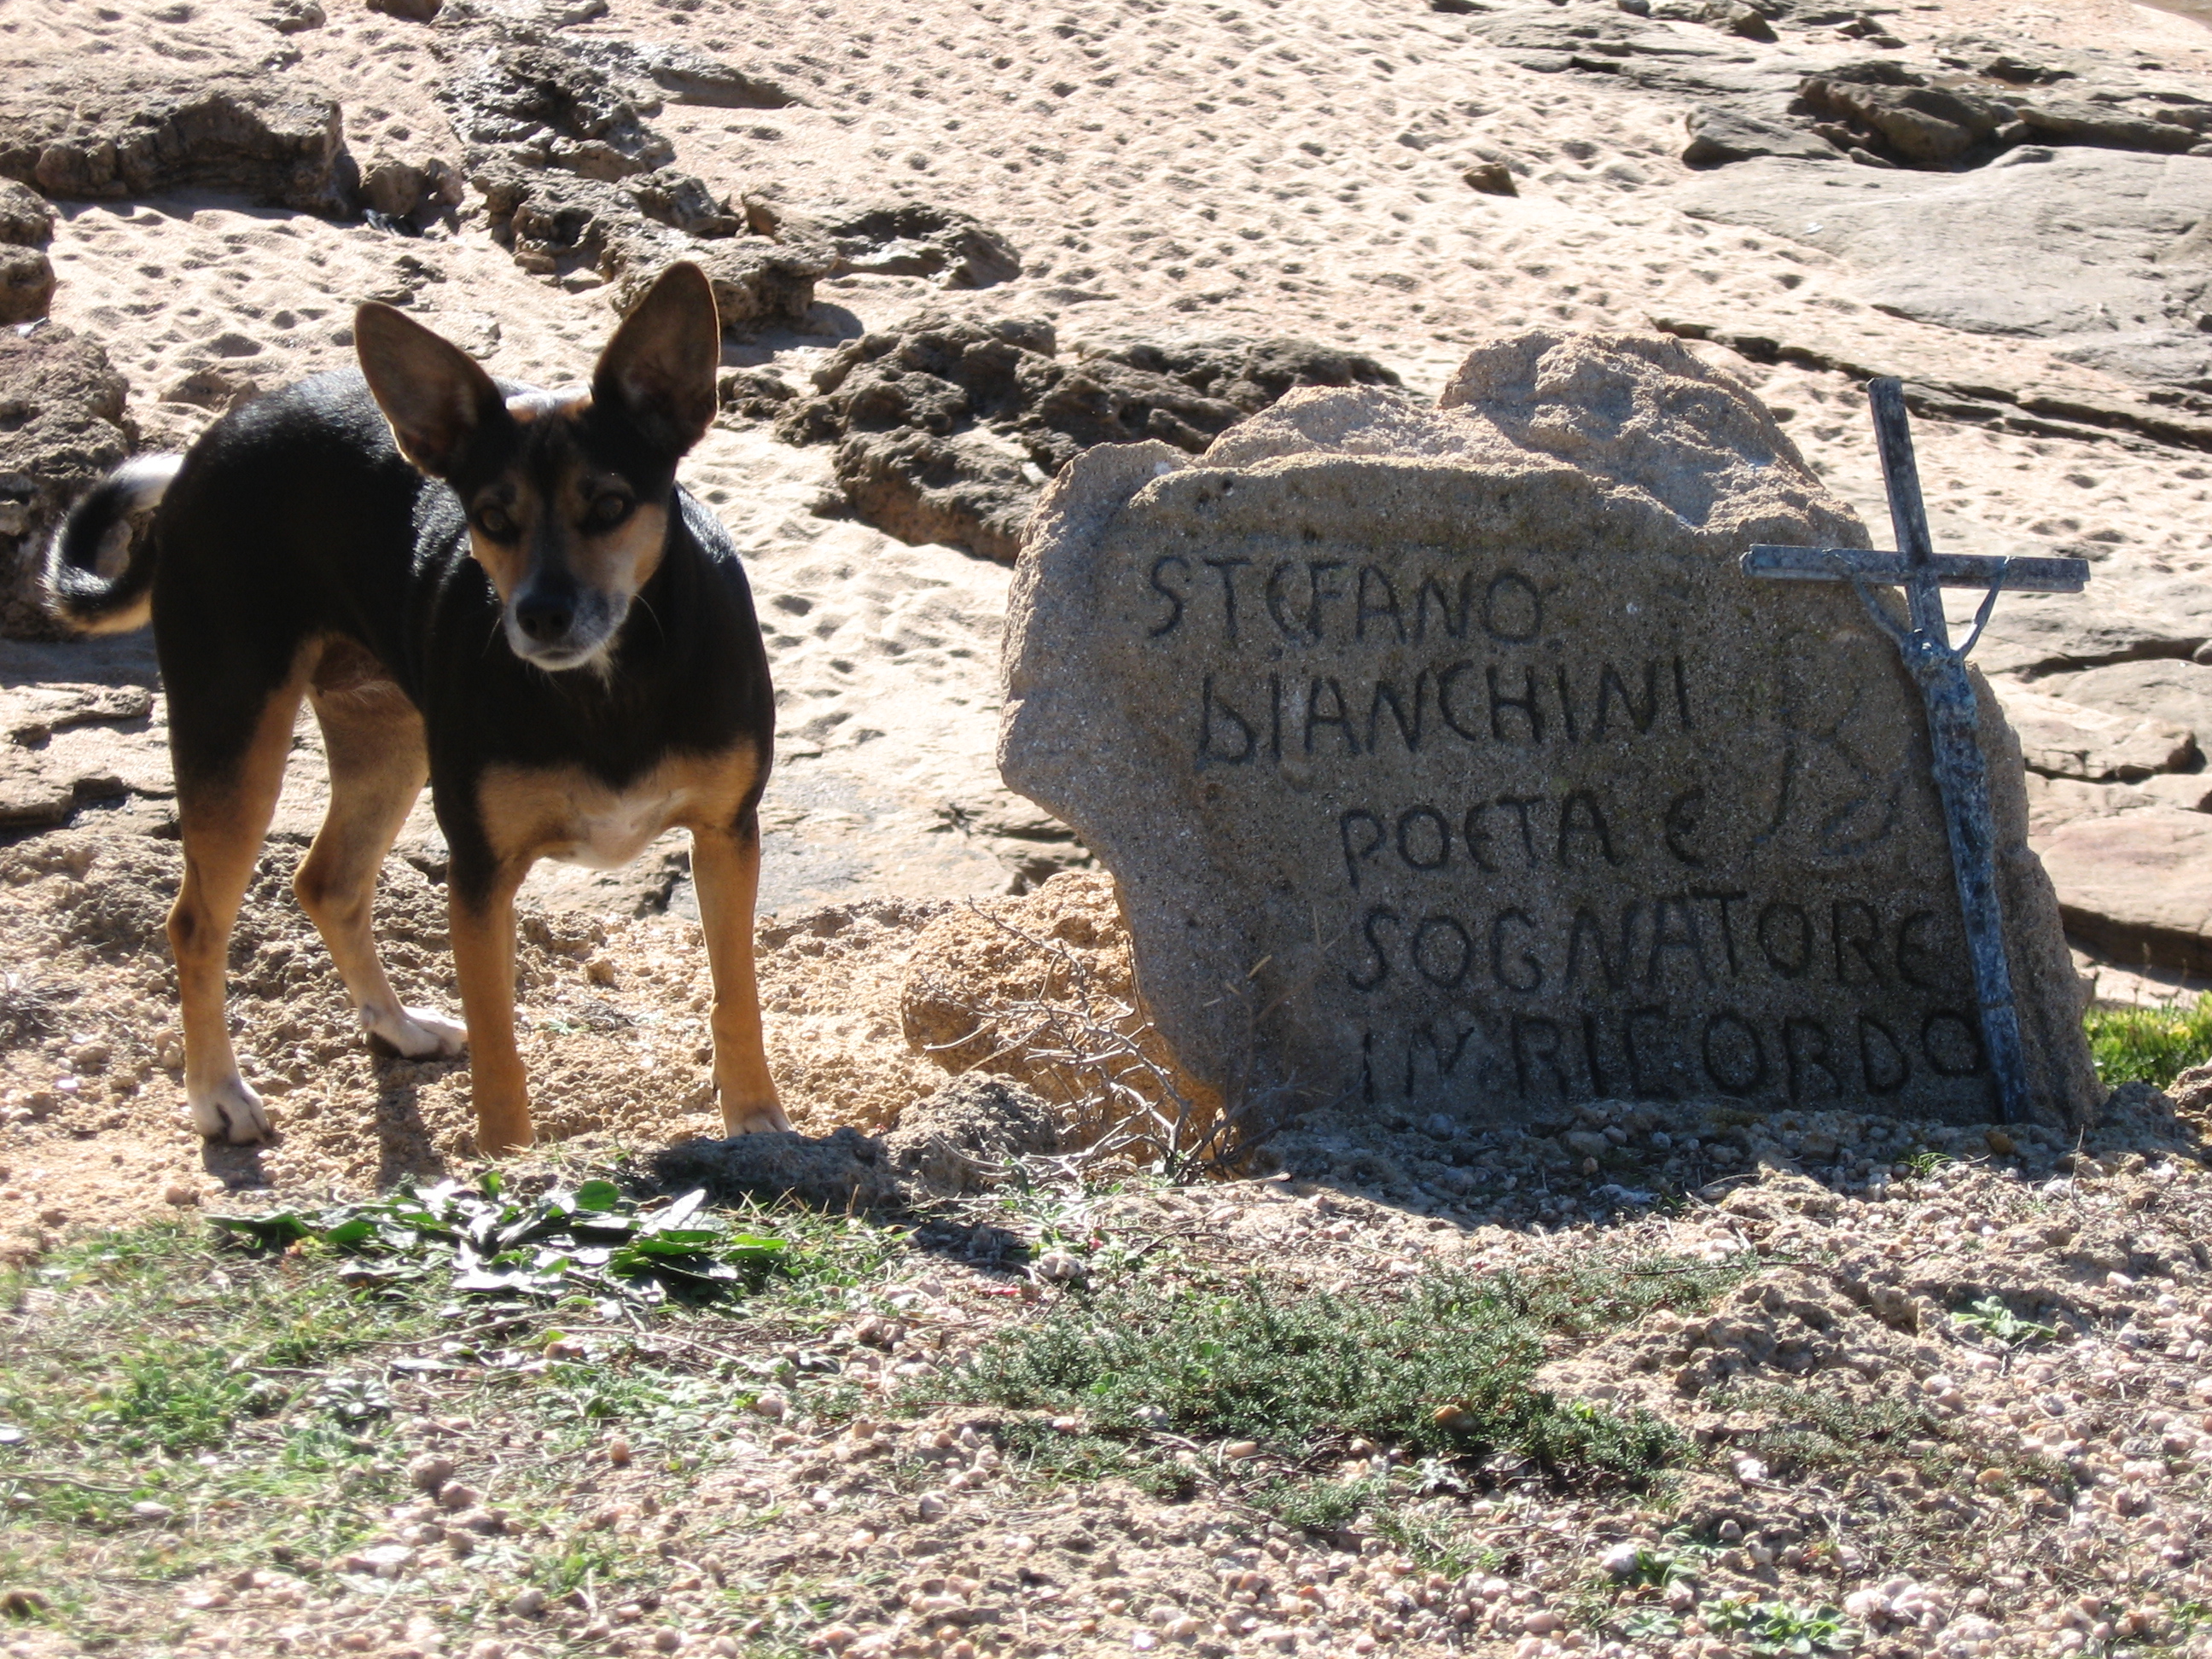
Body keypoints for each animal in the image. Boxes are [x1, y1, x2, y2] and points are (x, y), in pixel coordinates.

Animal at [43, 266, 791, 1159]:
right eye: (492, 518)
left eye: (609, 506)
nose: (540, 615)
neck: (607, 684)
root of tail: (211, 444)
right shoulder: (479, 872)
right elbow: (499, 1040)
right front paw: (510, 1164)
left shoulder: (726, 834)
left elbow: (737, 993)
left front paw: (756, 1119)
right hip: (232, 735)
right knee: (195, 923)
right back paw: (219, 1094)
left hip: (386, 741)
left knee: (328, 881)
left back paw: (397, 1028)